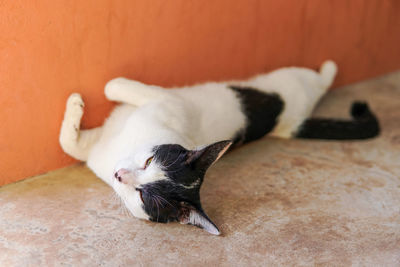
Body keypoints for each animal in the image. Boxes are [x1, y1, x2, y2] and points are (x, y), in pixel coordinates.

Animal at [58, 60, 378, 234]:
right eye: (149, 162)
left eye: (142, 195)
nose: (119, 175)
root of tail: (292, 123)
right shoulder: (99, 149)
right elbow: (69, 143)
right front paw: (76, 109)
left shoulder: (169, 100)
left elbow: (116, 86)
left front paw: (87, 96)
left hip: (293, 80)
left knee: (319, 79)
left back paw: (328, 68)